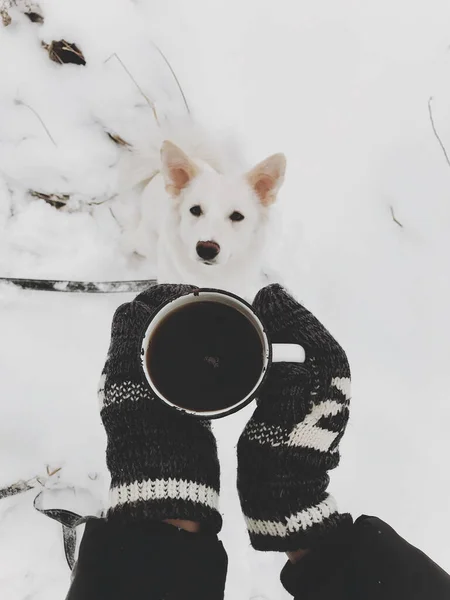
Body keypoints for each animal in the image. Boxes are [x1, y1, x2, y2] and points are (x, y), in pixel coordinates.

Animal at [116, 125, 284, 298]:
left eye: (237, 216)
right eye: (195, 209)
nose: (206, 249)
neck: (208, 276)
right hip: (146, 241)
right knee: (129, 240)